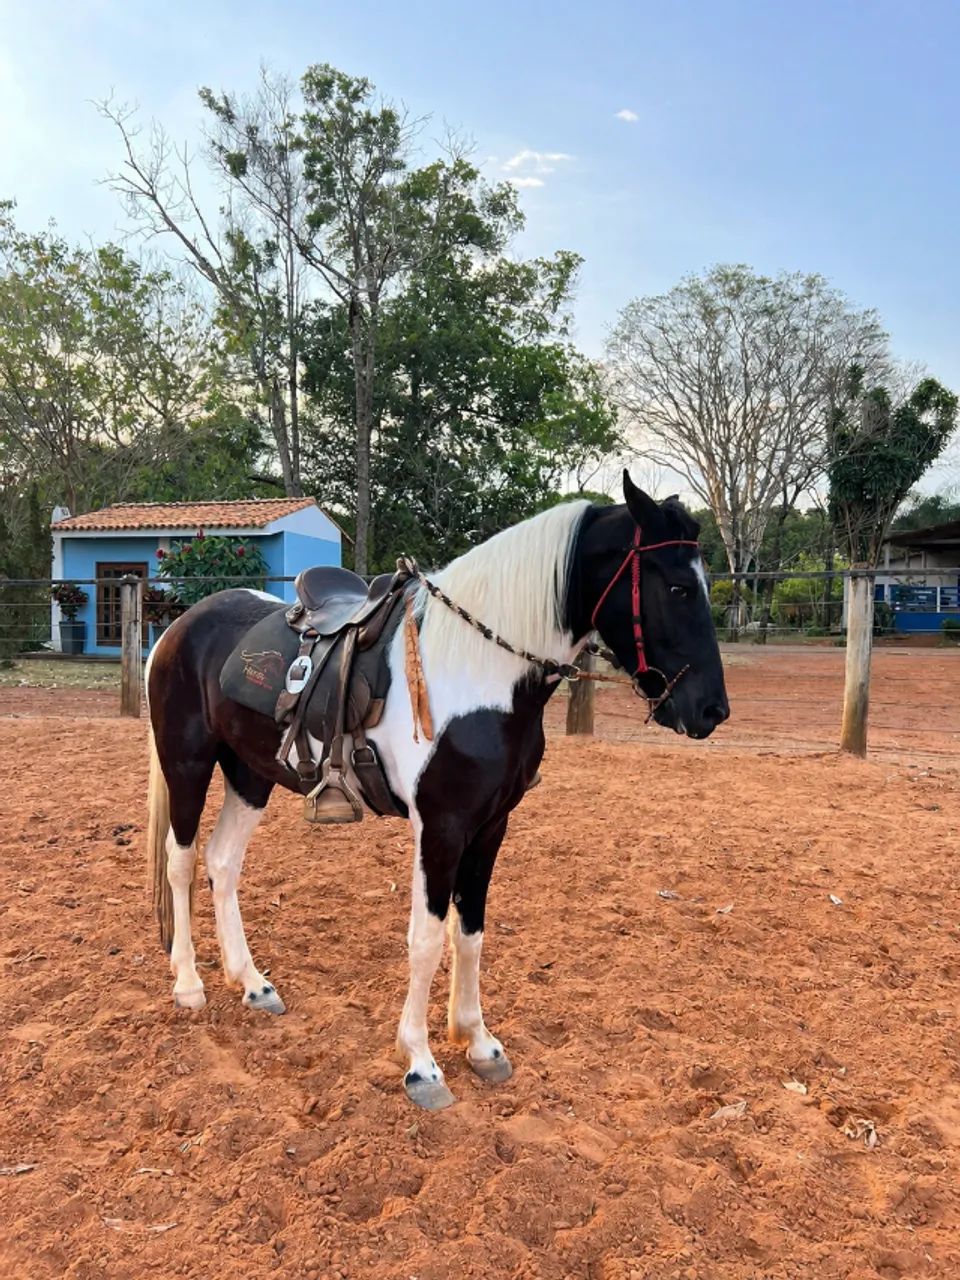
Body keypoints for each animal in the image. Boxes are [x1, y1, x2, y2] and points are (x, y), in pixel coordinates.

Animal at [144, 471, 729, 1110]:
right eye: (677, 587)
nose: (711, 710)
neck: (480, 675)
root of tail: (178, 627)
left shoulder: (491, 825)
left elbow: (469, 932)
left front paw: (477, 1042)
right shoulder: (441, 827)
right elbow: (425, 938)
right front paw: (421, 1063)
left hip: (251, 775)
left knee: (223, 863)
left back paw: (251, 983)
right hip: (188, 765)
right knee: (181, 862)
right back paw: (188, 983)